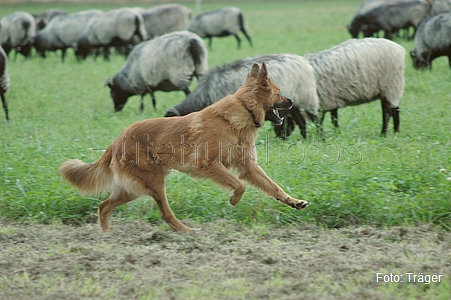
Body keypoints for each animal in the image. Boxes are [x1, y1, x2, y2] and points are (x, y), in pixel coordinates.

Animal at [58, 62, 308, 232]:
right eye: (279, 93)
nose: (293, 102)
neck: (243, 110)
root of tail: (117, 140)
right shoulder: (208, 164)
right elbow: (239, 185)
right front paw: (234, 200)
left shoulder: (249, 168)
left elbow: (274, 187)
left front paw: (294, 202)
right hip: (154, 183)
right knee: (165, 215)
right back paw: (188, 232)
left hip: (132, 189)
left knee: (103, 206)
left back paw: (106, 236)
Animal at [278, 37, 408, 138]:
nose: (281, 136)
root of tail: (399, 49)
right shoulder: (330, 100)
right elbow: (333, 119)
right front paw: (336, 132)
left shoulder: (324, 101)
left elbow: (324, 120)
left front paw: (326, 134)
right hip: (387, 90)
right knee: (394, 110)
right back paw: (395, 133)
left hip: (390, 86)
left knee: (388, 112)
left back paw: (384, 134)